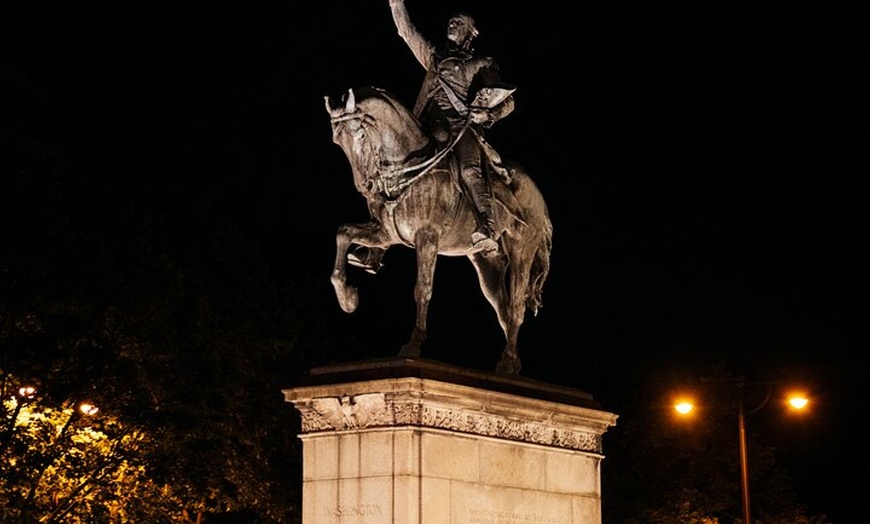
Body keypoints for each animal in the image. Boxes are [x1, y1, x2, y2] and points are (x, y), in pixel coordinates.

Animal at [328, 86, 552, 374]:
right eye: (337, 140)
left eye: (359, 132)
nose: (365, 186)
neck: (409, 165)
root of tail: (539, 197)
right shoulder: (385, 234)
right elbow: (343, 233)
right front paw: (348, 298)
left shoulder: (427, 238)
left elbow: (422, 288)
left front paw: (414, 343)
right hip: (487, 264)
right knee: (503, 310)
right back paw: (511, 364)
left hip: (521, 253)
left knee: (515, 306)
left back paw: (507, 362)